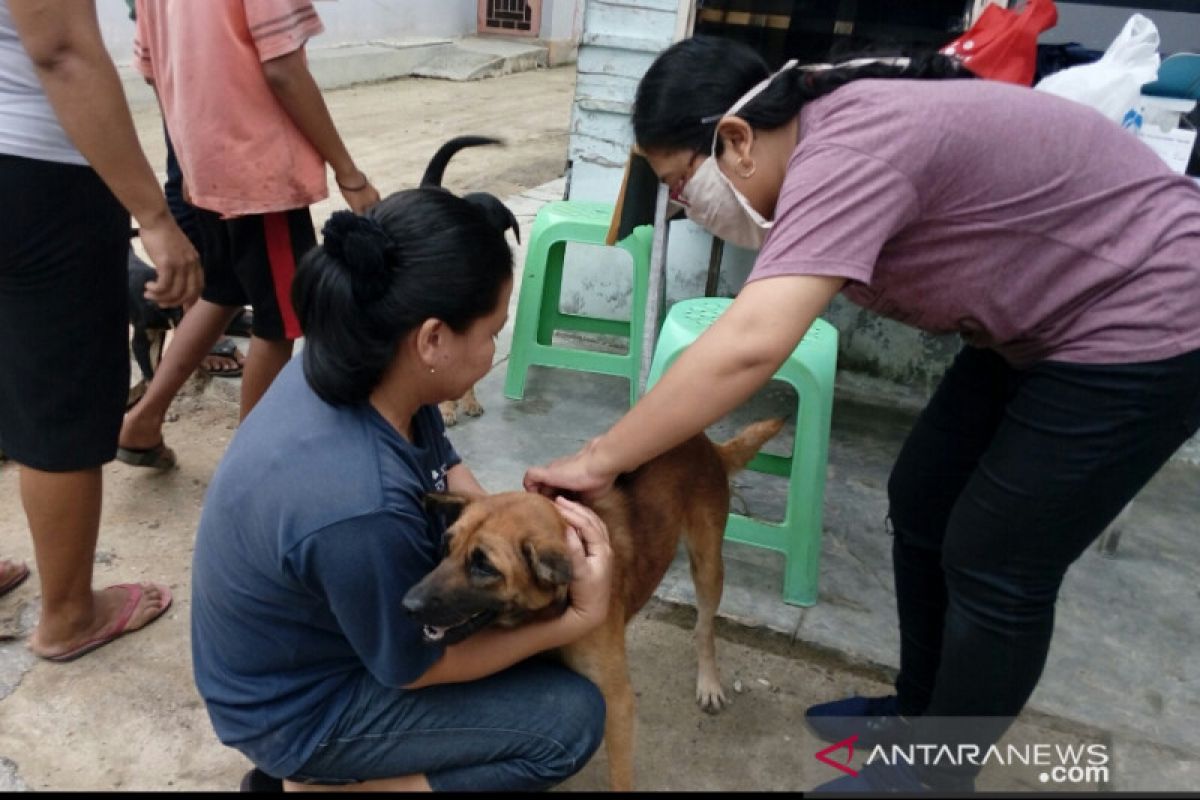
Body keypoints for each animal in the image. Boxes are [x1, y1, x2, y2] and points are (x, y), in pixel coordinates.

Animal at [398, 419, 782, 786]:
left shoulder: (618, 703)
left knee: (704, 626)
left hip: (708, 565)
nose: (407, 605)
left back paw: (709, 682)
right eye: (446, 546)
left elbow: (621, 777)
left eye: (484, 566)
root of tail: (707, 444)